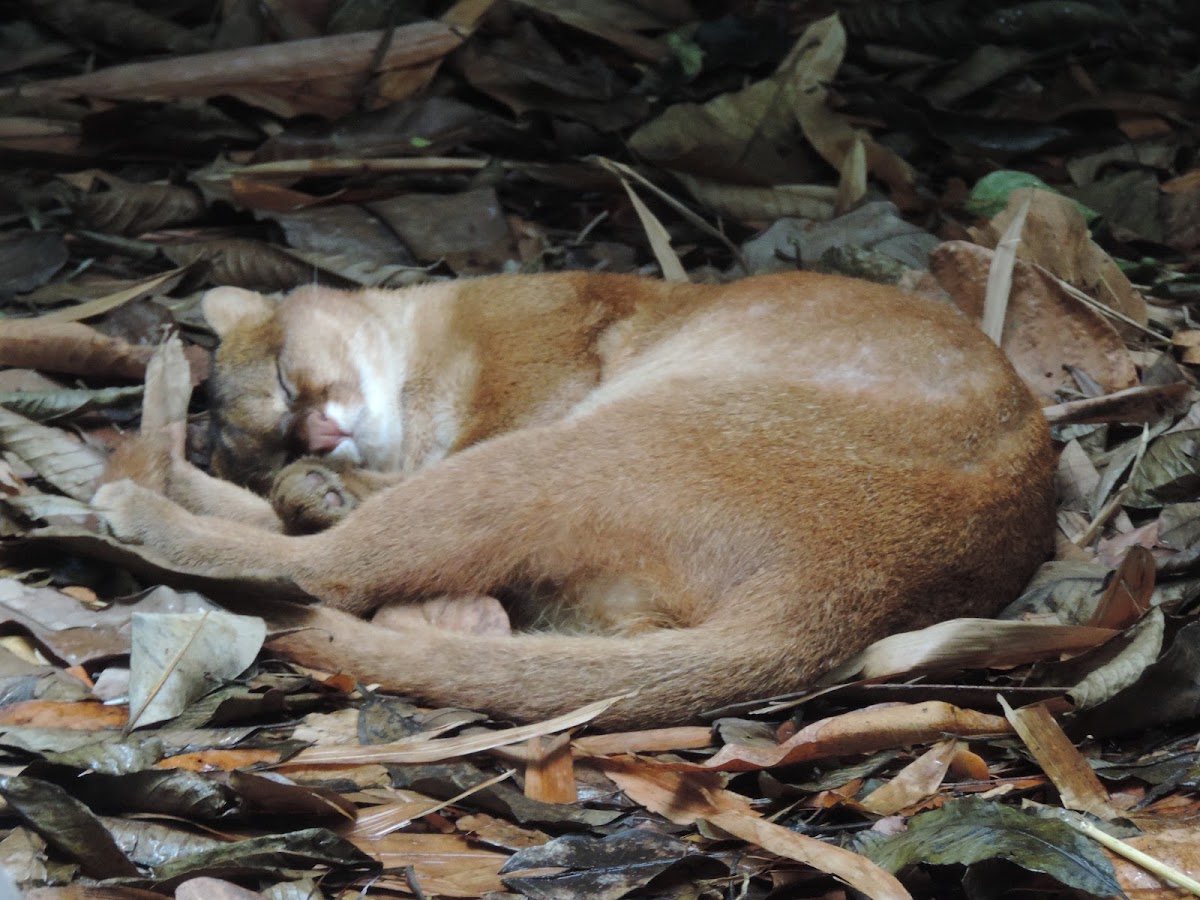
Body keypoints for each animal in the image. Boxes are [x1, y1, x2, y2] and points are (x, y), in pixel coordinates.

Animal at [93, 273, 1051, 734]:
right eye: (278, 434)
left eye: (292, 382)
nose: (318, 441)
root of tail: (859, 588)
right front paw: (300, 484)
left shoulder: (529, 382)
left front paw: (313, 488)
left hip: (564, 451)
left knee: (332, 570)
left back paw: (139, 490)